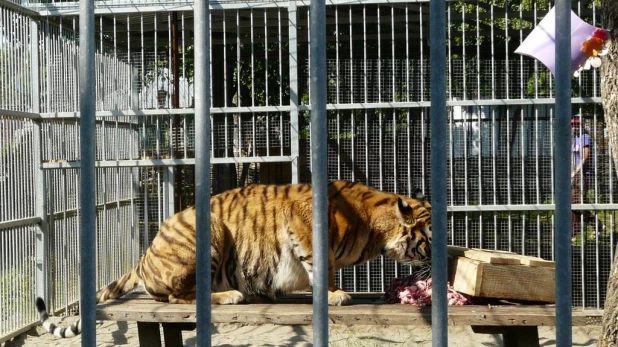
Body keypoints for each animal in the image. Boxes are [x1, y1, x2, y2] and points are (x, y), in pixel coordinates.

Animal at [33, 181, 428, 338]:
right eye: (429, 234)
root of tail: (144, 255)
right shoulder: (303, 220)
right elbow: (321, 263)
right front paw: (334, 294)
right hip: (208, 232)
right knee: (179, 296)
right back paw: (233, 295)